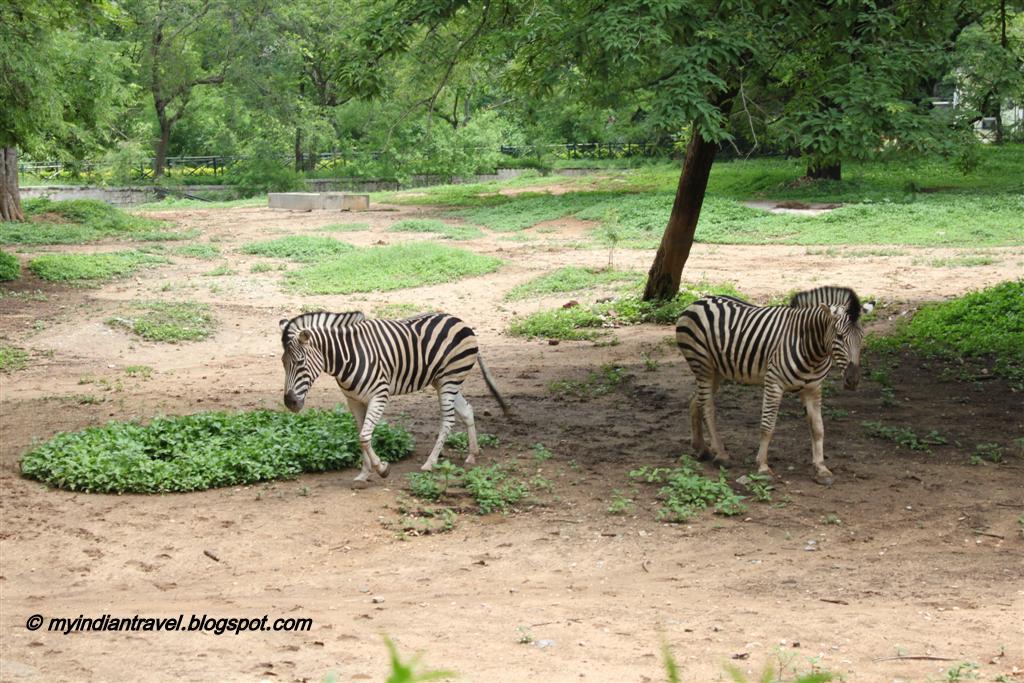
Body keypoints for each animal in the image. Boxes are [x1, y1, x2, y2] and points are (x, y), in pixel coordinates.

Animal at [279, 310, 510, 485]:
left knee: (448, 420)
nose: (290, 402)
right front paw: (364, 473)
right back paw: (472, 454)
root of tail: (460, 321)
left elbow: (364, 436)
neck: (348, 356)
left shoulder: (379, 395)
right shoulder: (354, 400)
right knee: (467, 411)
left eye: (300, 363)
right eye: (283, 362)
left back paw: (430, 463)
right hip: (443, 381)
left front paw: (381, 468)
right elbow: (360, 435)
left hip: (449, 379)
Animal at [675, 286, 867, 485]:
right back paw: (721, 455)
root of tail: (699, 301)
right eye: (839, 336)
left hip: (716, 370)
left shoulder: (813, 388)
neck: (809, 345)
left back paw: (701, 449)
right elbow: (767, 426)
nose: (853, 380)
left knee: (695, 401)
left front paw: (822, 469)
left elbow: (818, 428)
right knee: (707, 407)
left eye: (862, 337)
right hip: (702, 365)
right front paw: (763, 467)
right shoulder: (774, 383)